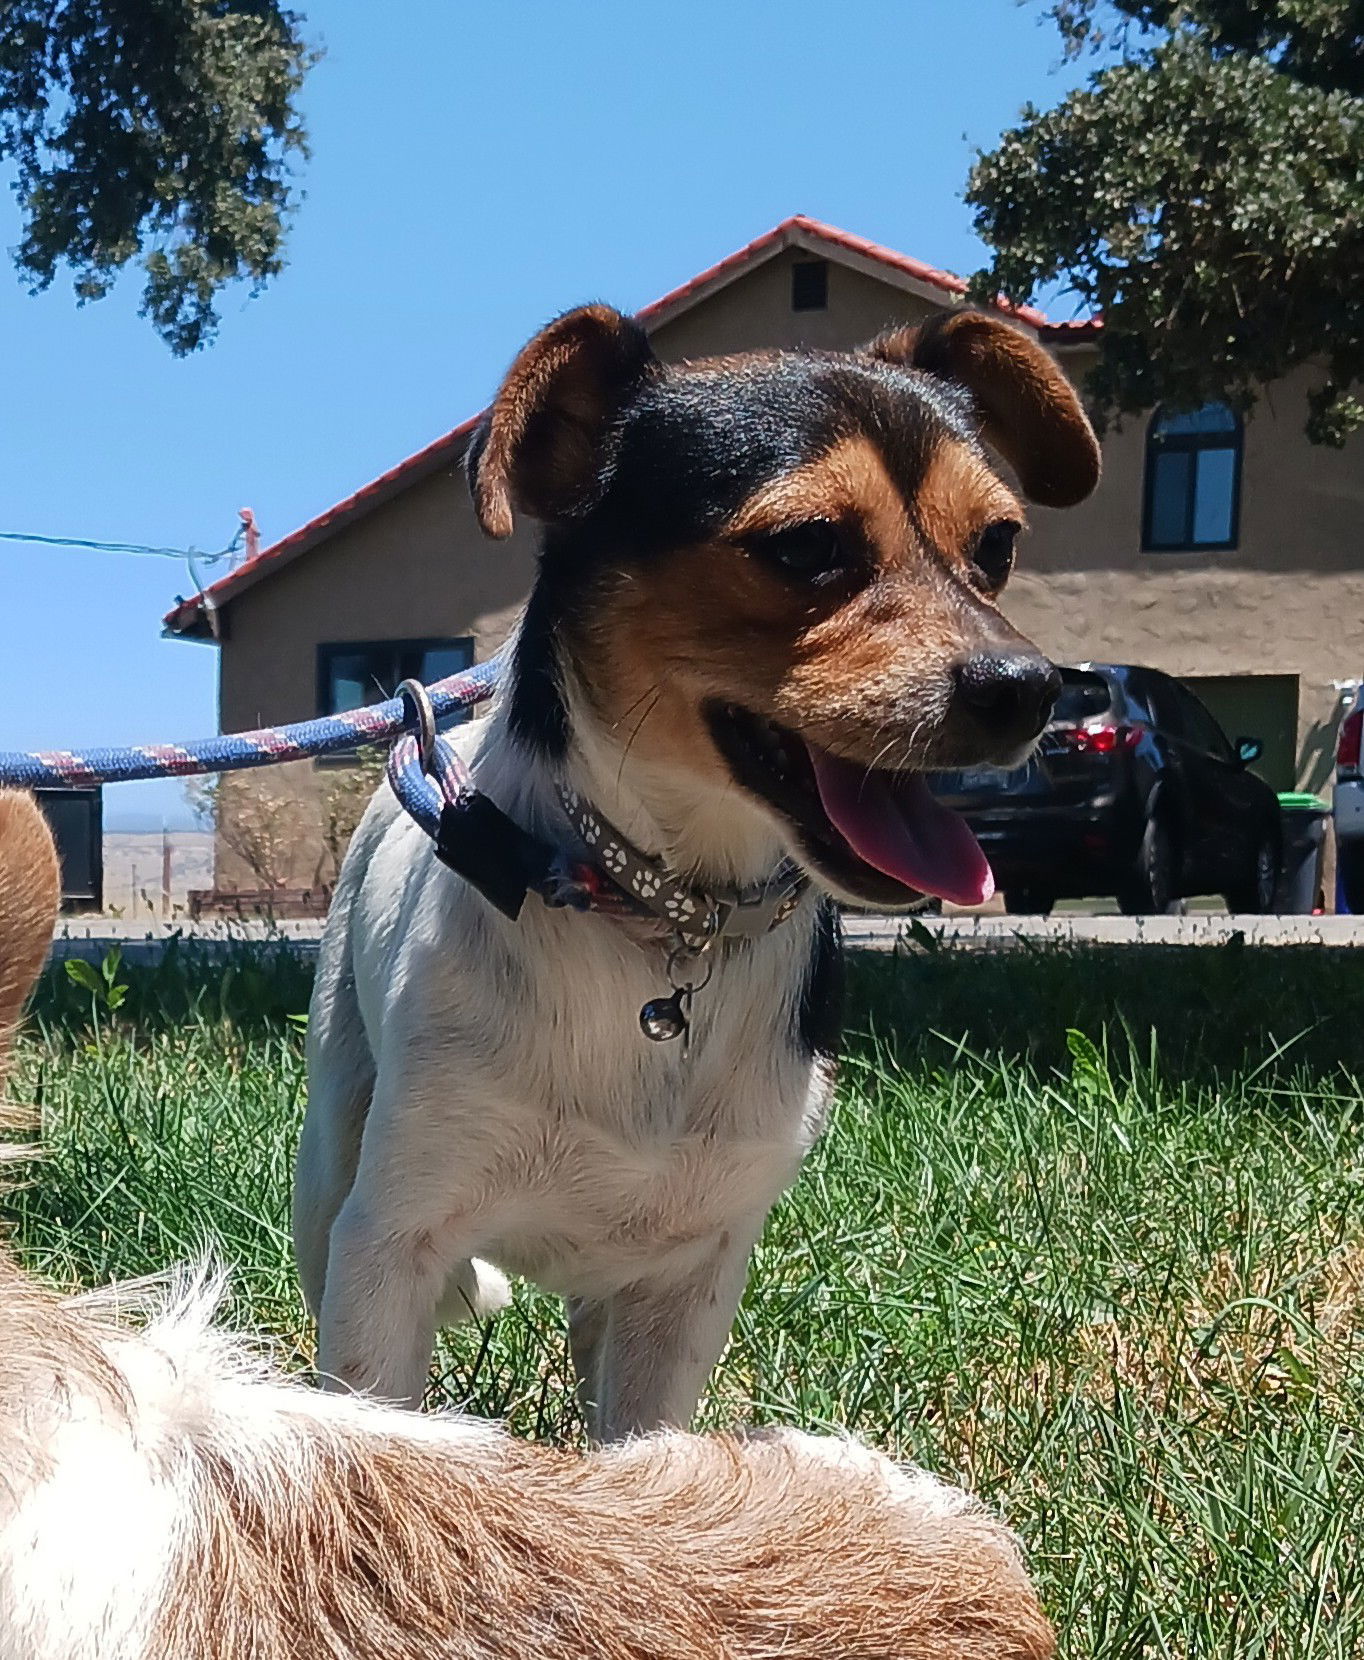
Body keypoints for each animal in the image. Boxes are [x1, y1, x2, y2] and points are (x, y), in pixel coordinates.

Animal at [297, 308, 1101, 1440]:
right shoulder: (391, 1244)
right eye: (805, 545)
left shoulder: (689, 1280)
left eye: (997, 545)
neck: (669, 913)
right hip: (330, 1157)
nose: (1029, 688)